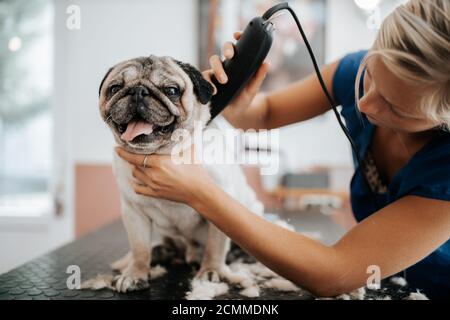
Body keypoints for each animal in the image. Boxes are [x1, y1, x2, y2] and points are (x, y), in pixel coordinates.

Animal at [98, 55, 264, 292]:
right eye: (115, 88)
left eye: (172, 90)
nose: (138, 91)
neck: (165, 153)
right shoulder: (133, 213)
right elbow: (139, 248)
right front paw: (135, 273)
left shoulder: (219, 208)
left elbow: (215, 246)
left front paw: (211, 270)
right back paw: (165, 252)